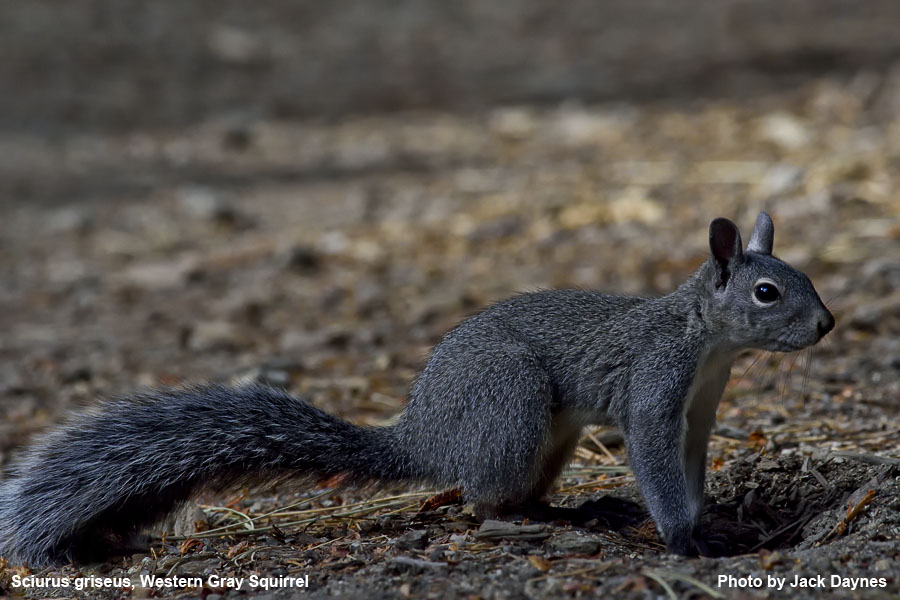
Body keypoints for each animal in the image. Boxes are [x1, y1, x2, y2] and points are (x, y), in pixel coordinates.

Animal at [0, 212, 834, 566]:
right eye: (766, 293)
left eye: (802, 275)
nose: (826, 323)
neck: (706, 341)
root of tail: (425, 433)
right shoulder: (656, 388)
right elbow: (657, 463)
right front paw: (687, 540)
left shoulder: (702, 406)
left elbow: (689, 466)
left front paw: (712, 520)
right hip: (510, 399)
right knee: (485, 504)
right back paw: (561, 521)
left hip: (546, 433)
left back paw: (579, 509)